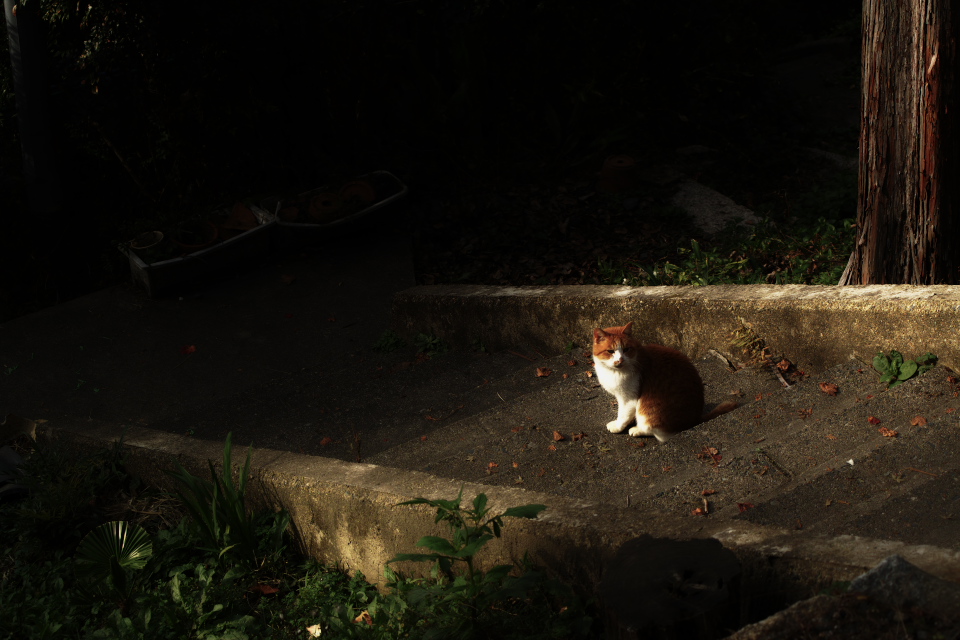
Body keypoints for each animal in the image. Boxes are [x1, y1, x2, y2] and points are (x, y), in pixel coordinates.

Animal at [592, 322, 736, 442]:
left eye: (626, 349)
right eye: (610, 351)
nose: (620, 360)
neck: (613, 371)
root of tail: (693, 420)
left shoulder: (629, 399)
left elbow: (623, 415)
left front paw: (618, 426)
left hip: (647, 409)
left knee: (657, 432)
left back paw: (638, 430)